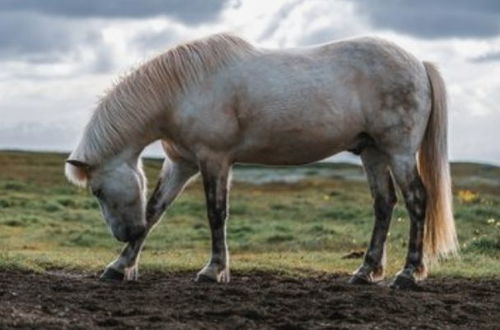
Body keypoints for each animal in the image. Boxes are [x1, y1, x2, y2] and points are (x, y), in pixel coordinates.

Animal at [65, 32, 458, 288]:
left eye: (98, 191)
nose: (123, 233)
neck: (181, 91)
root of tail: (418, 64)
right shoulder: (182, 163)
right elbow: (155, 210)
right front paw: (120, 265)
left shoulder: (214, 160)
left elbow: (216, 214)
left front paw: (213, 270)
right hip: (373, 153)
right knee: (384, 204)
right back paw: (365, 272)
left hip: (399, 152)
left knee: (416, 200)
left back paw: (408, 274)